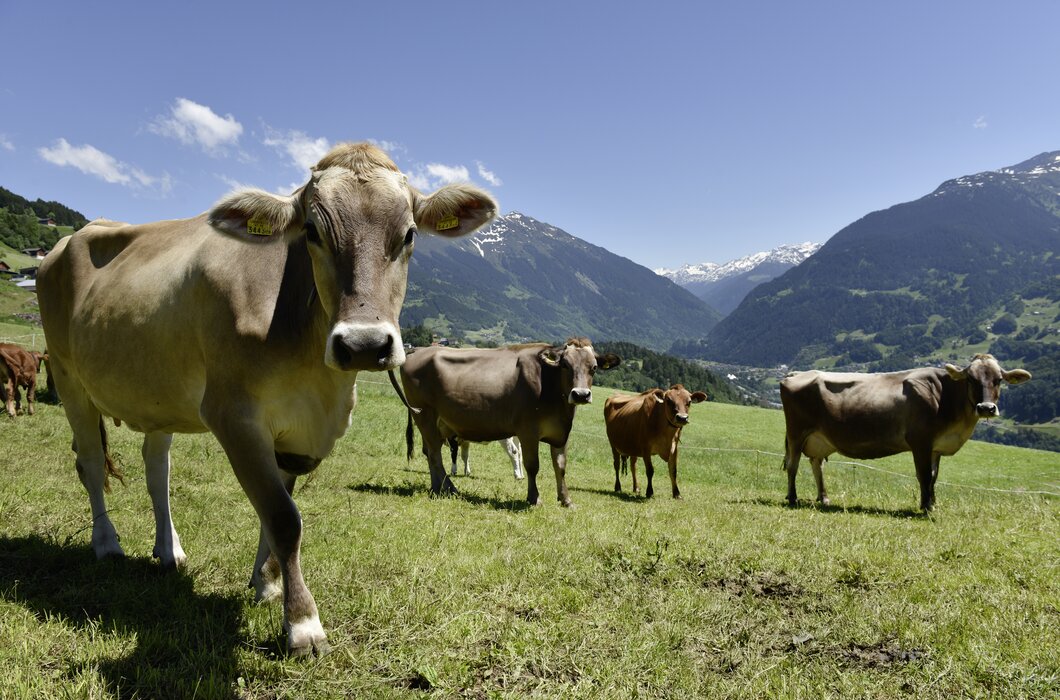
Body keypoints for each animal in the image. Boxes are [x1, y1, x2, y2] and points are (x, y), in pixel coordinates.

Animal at [34, 142, 496, 657]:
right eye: (312, 231)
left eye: (410, 234)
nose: (363, 345)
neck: (316, 375)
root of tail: (79, 233)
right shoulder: (233, 416)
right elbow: (282, 516)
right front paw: (303, 624)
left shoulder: (298, 431)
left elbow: (275, 508)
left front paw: (268, 582)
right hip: (68, 375)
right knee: (92, 462)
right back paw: (107, 543)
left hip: (158, 394)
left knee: (157, 470)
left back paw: (168, 549)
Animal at [402, 337, 619, 504]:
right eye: (565, 365)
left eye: (594, 367)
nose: (581, 394)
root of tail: (419, 350)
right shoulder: (528, 431)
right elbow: (533, 465)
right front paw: (534, 498)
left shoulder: (560, 433)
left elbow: (560, 466)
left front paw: (566, 500)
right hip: (424, 414)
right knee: (435, 454)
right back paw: (449, 488)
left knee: (430, 452)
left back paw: (436, 488)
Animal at [784, 356, 1030, 509]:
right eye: (971, 379)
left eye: (998, 380)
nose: (986, 408)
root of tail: (796, 373)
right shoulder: (920, 441)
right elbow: (923, 475)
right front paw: (926, 506)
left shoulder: (936, 447)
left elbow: (934, 476)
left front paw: (932, 502)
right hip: (796, 433)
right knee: (793, 466)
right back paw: (793, 498)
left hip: (818, 438)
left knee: (817, 465)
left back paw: (824, 498)